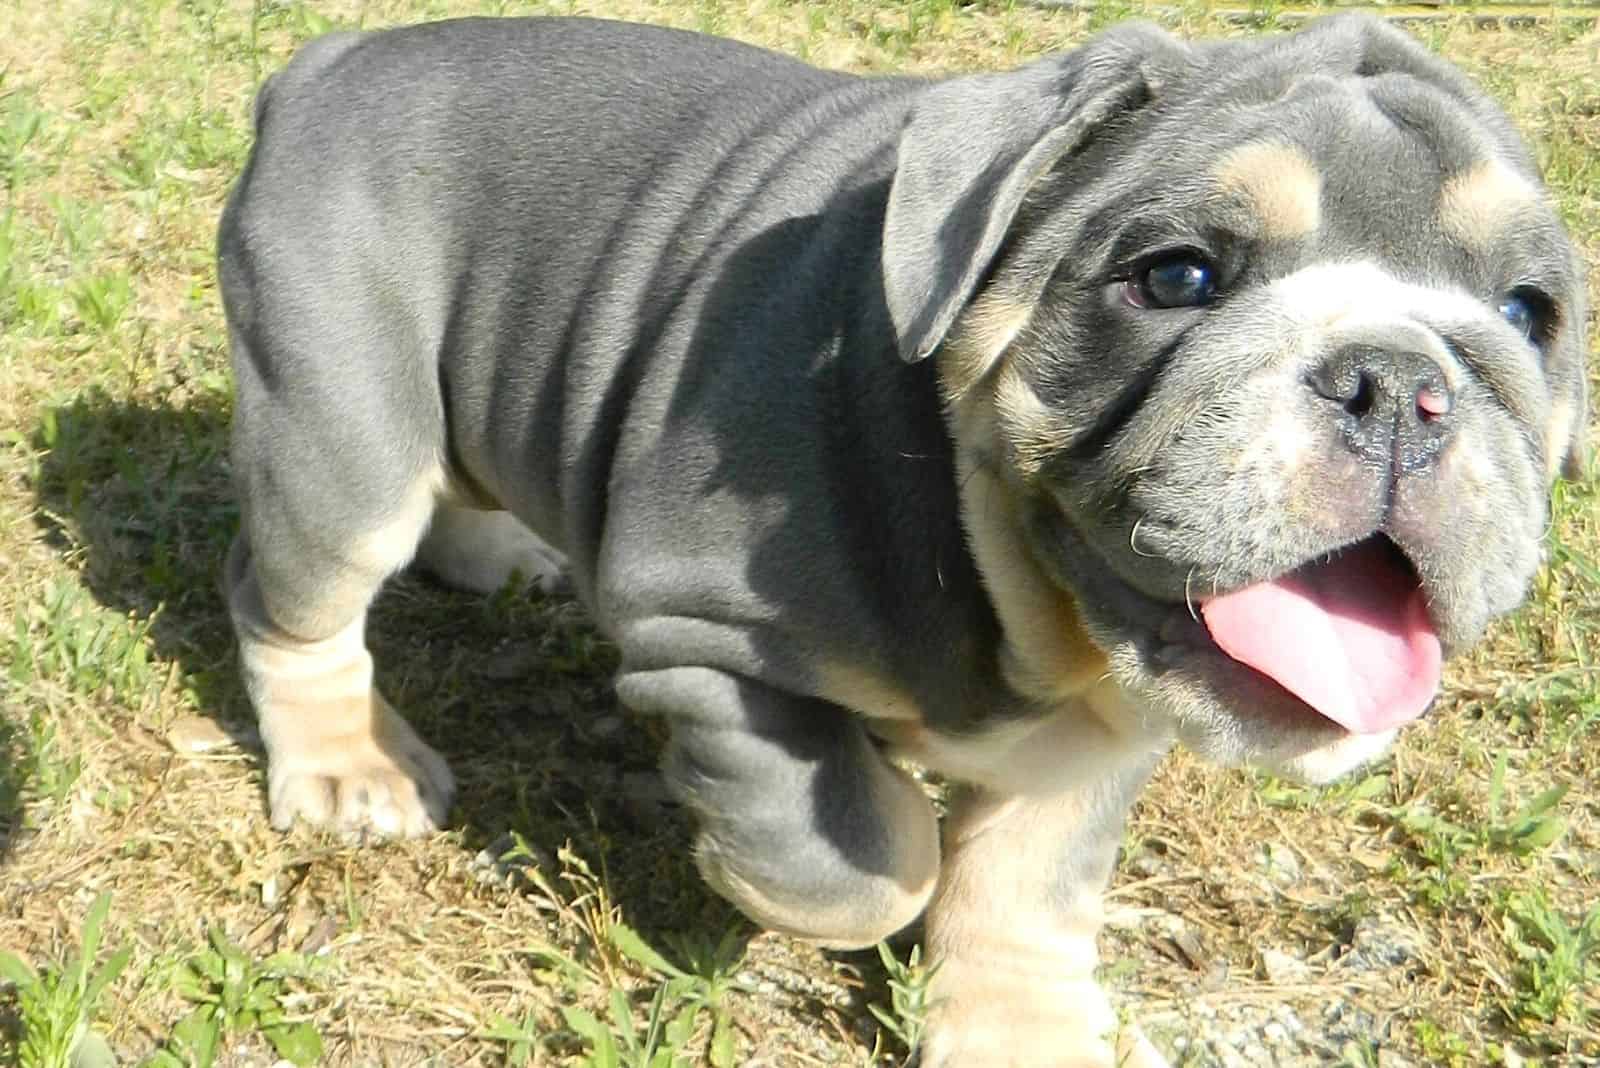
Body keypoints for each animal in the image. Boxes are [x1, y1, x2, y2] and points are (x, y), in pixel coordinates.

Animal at [222, 12, 1587, 1061]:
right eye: (1177, 276)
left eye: (1530, 313)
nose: (1397, 384)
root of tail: (326, 62)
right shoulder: (705, 647)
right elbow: (865, 854)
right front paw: (791, 865)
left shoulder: (1088, 742)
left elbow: (1022, 892)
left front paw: (1020, 1034)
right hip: (341, 437)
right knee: (293, 605)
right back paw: (351, 770)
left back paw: (503, 555)